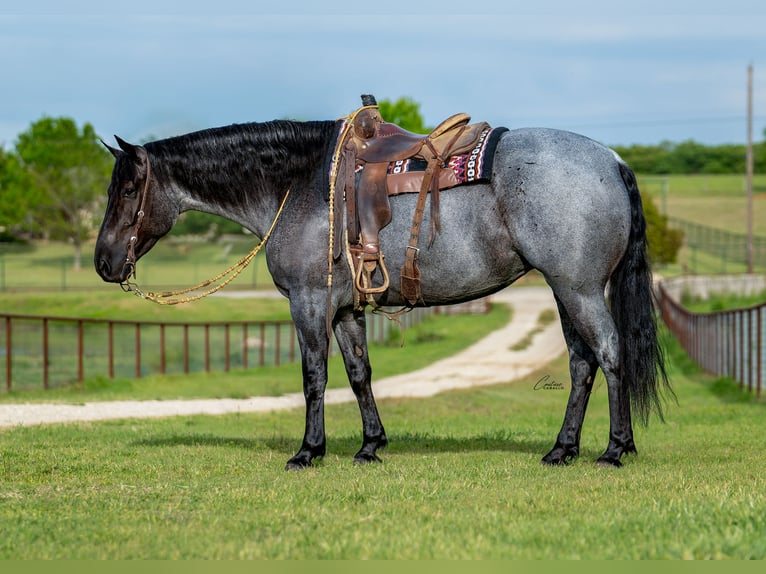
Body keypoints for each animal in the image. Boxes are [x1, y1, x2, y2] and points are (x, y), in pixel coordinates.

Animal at [94, 113, 672, 470]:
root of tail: (612, 161)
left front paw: (309, 451)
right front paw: (370, 445)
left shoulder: (308, 303)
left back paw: (614, 448)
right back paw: (562, 449)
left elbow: (314, 377)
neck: (300, 186)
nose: (103, 262)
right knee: (582, 363)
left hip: (579, 290)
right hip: (566, 291)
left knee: (609, 354)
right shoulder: (345, 309)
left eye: (129, 188)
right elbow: (358, 374)